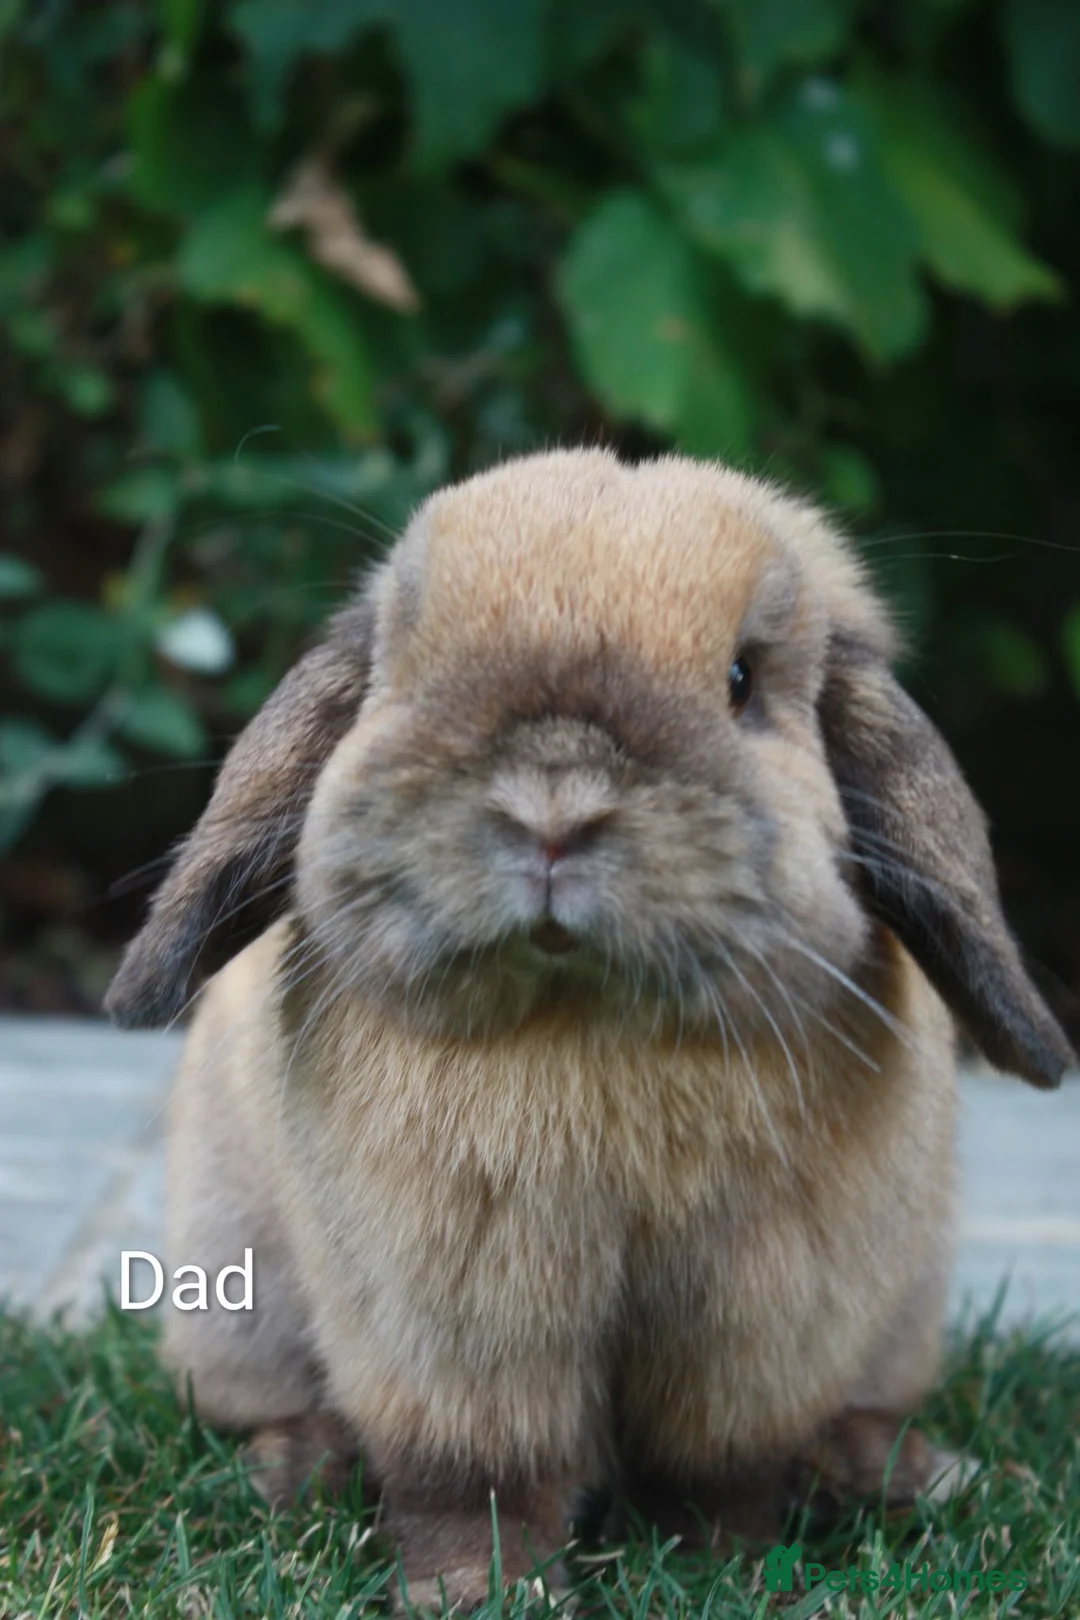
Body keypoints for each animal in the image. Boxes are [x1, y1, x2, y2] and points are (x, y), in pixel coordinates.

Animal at [106, 449, 1072, 1608]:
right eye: (411, 668)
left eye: (742, 680)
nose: (553, 806)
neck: (584, 1022)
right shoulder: (452, 1328)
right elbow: (476, 1480)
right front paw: (473, 1595)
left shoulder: (755, 1327)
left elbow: (718, 1474)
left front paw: (725, 1573)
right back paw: (300, 1470)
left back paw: (885, 1472)